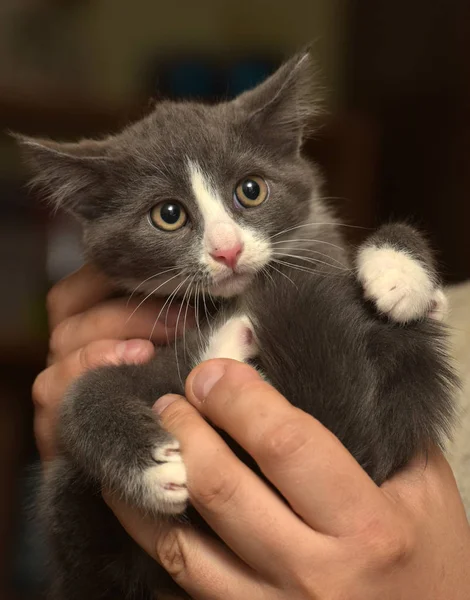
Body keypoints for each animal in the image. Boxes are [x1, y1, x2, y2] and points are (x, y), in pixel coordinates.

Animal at [18, 50, 456, 600]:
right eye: (168, 214)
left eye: (251, 190)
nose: (227, 250)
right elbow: (79, 395)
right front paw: (152, 470)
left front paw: (400, 275)